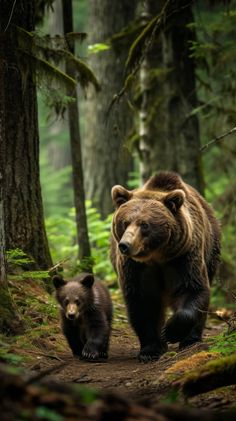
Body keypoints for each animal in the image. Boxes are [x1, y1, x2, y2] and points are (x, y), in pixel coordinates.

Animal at [110, 171, 221, 360]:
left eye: (145, 224)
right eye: (125, 222)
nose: (125, 245)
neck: (156, 257)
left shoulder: (183, 257)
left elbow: (193, 289)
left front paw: (170, 331)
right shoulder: (135, 268)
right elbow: (143, 303)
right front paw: (151, 349)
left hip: (211, 248)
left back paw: (191, 340)